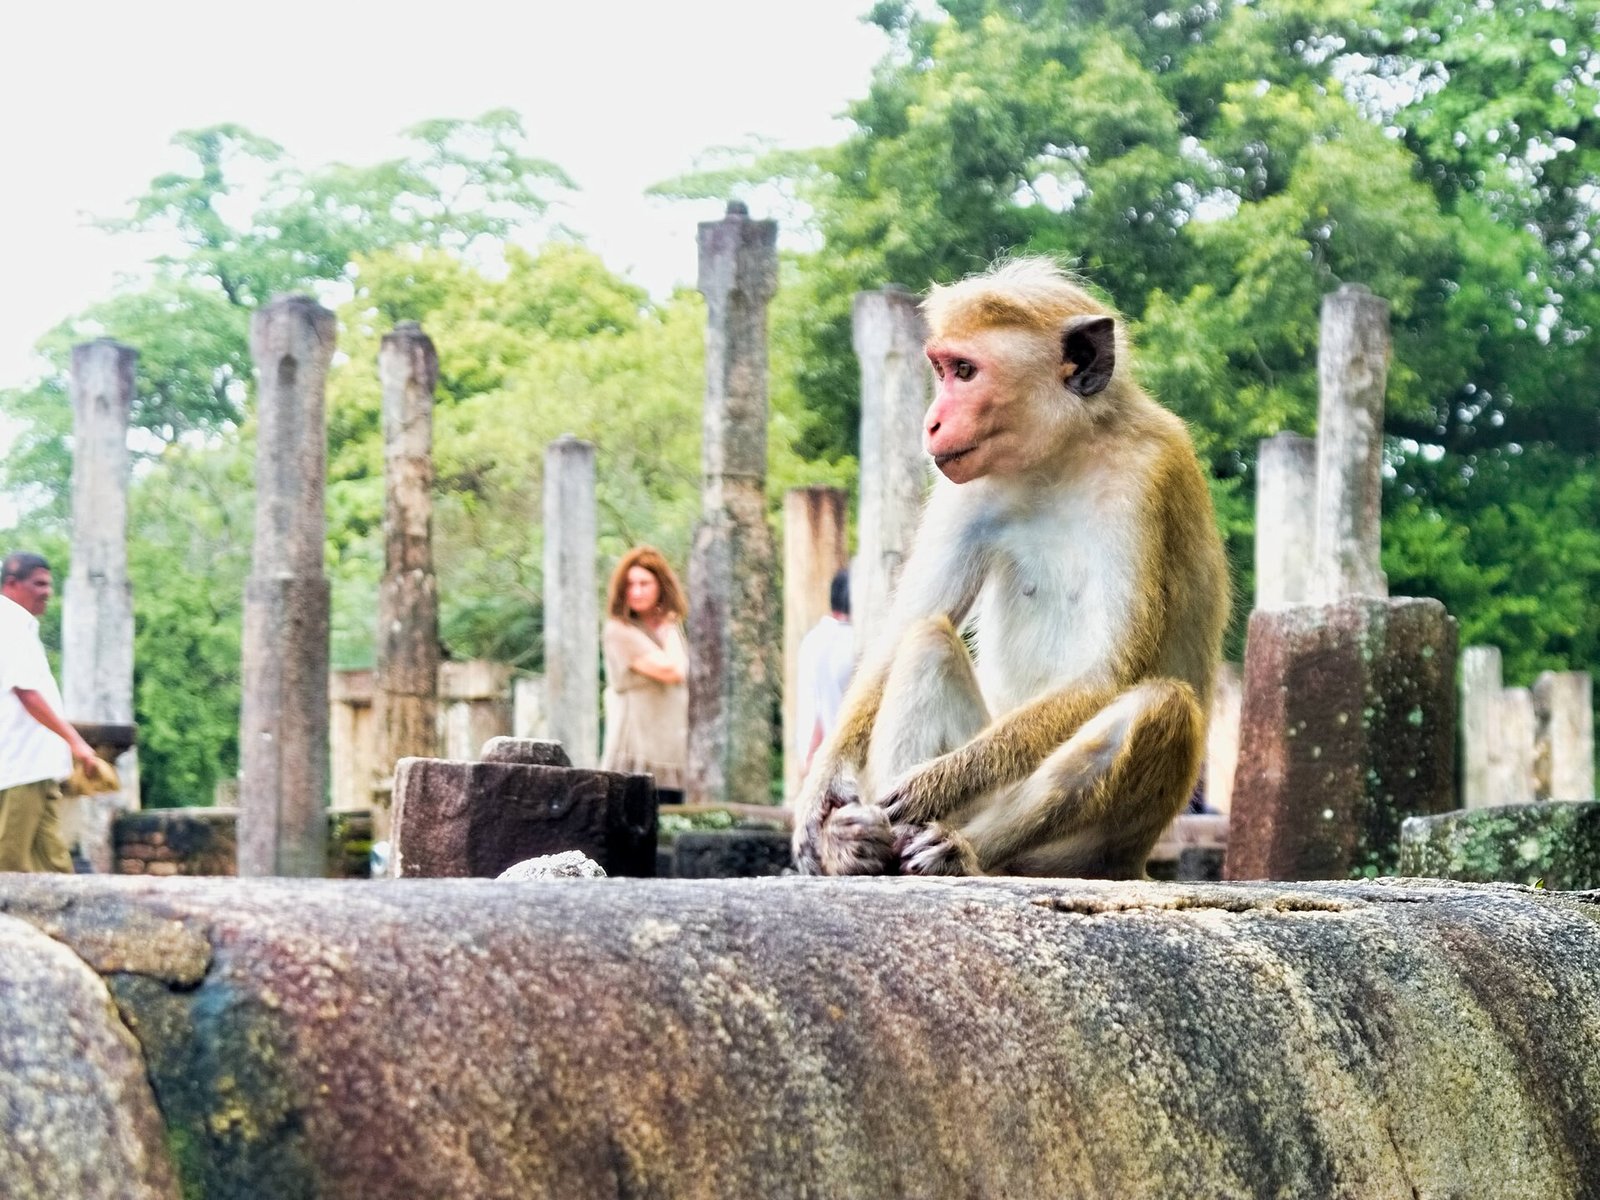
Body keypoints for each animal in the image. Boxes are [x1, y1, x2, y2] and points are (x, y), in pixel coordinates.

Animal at [792, 257, 1230, 878]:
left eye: (966, 372)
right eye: (942, 370)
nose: (930, 423)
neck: (1060, 455)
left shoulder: (1146, 476)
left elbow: (1108, 672)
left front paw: (934, 784)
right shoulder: (967, 486)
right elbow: (906, 630)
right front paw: (821, 800)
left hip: (1093, 849)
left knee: (1158, 708)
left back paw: (962, 853)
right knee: (927, 642)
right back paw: (871, 847)